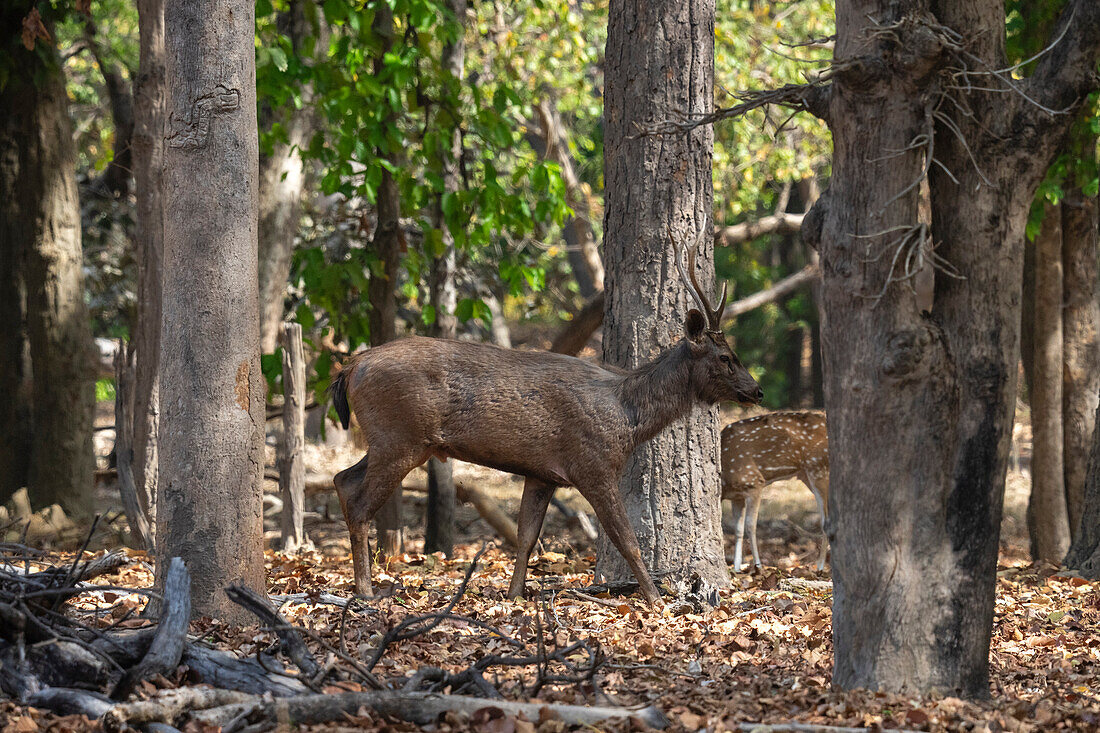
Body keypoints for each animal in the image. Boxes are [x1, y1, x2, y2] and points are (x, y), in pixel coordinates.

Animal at [330, 225, 761, 603]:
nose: (756, 390)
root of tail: (351, 367)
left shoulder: (542, 473)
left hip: (389, 439)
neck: (628, 416)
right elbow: (626, 539)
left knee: (342, 479)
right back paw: (365, 590)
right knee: (361, 503)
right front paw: (657, 600)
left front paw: (515, 594)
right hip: (401, 436)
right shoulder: (593, 464)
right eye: (726, 357)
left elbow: (526, 537)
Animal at [717, 411, 827, 572]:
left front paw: (758, 566)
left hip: (819, 468)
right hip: (806, 475)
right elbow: (738, 529)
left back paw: (820, 568)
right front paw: (736, 569)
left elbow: (750, 526)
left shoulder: (753, 482)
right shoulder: (737, 496)